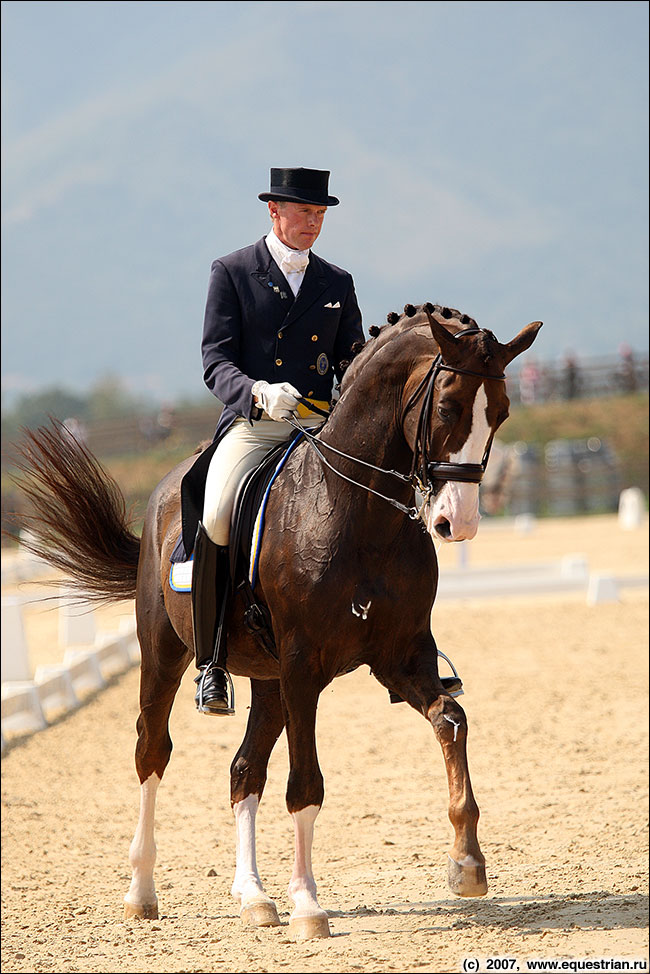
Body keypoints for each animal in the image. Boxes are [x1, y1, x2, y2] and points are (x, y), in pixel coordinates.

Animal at [15, 306, 540, 944]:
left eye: (502, 411)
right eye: (446, 406)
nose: (455, 523)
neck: (358, 513)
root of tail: (165, 492)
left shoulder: (402, 657)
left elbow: (452, 722)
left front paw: (466, 864)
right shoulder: (302, 667)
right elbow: (305, 782)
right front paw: (309, 907)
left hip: (265, 679)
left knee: (244, 769)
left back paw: (254, 897)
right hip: (166, 654)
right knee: (152, 751)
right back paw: (141, 892)